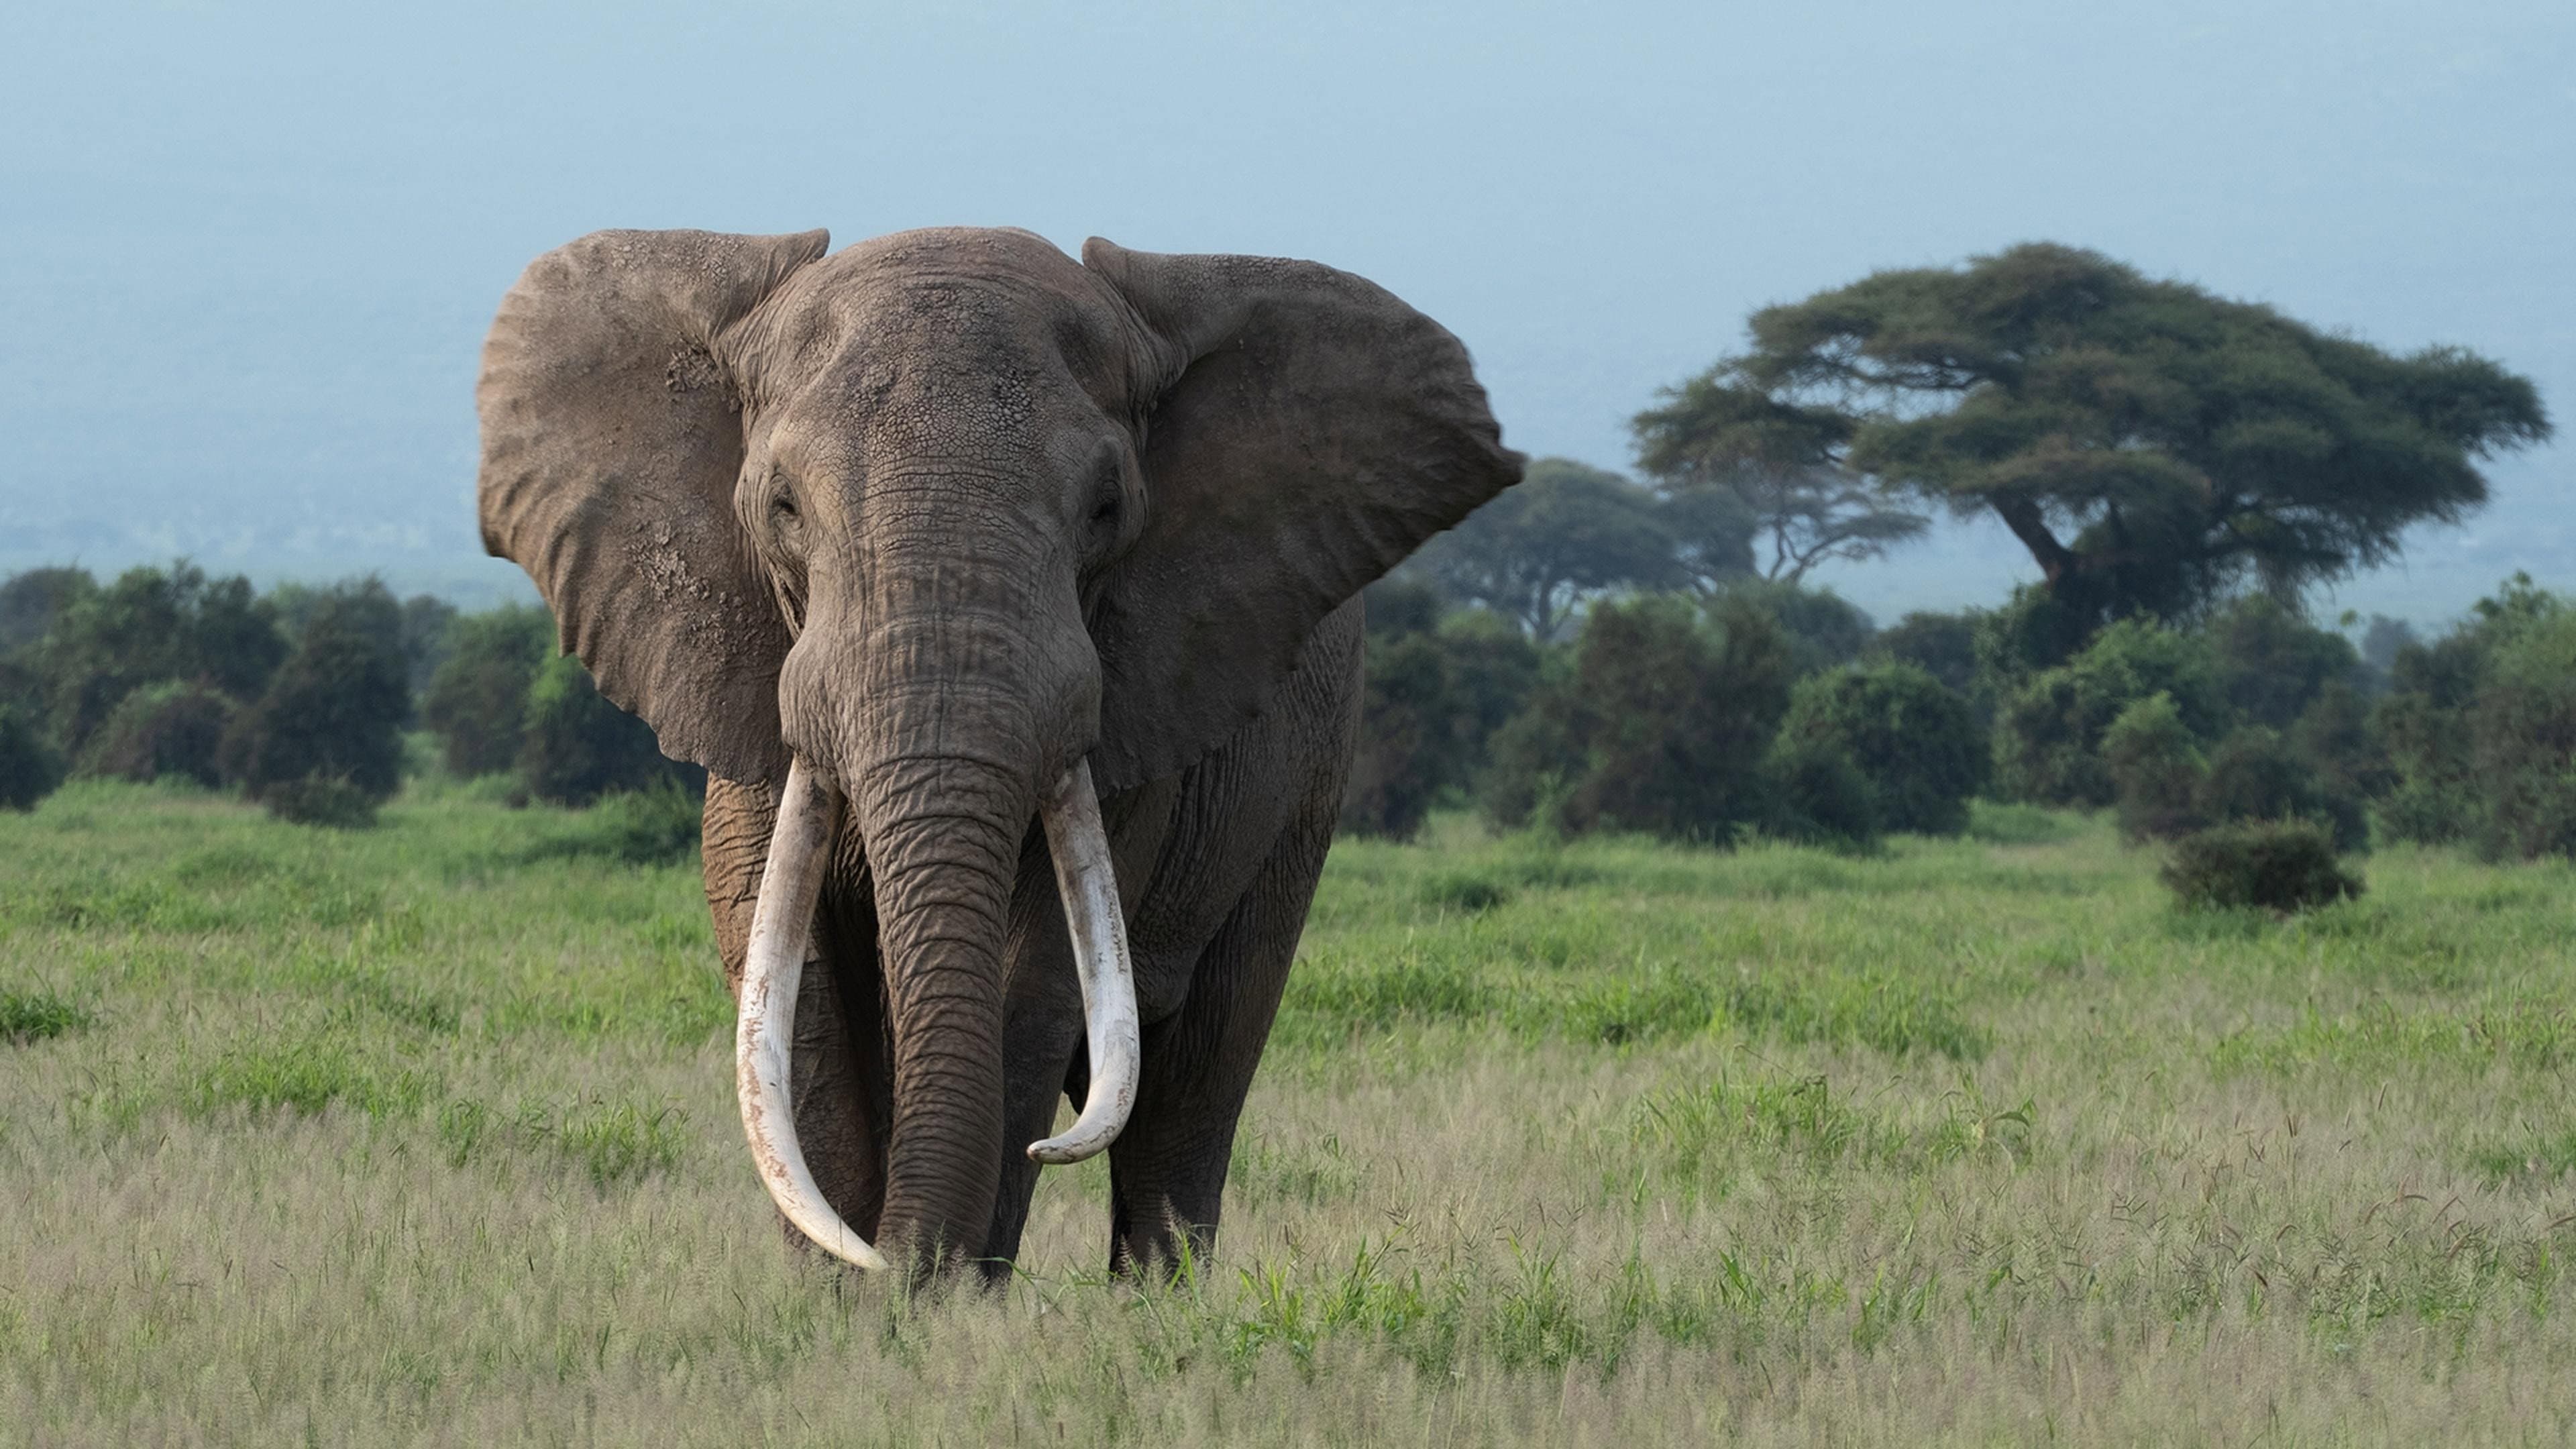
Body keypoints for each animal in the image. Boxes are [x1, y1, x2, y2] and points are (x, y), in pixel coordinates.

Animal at [476, 225, 1522, 1279]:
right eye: (782, 507)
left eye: (1106, 510)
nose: (901, 1266)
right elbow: (791, 992)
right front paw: (848, 1293)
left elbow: (1033, 985)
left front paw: (931, 1296)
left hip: (1307, 780)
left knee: (1197, 1079)